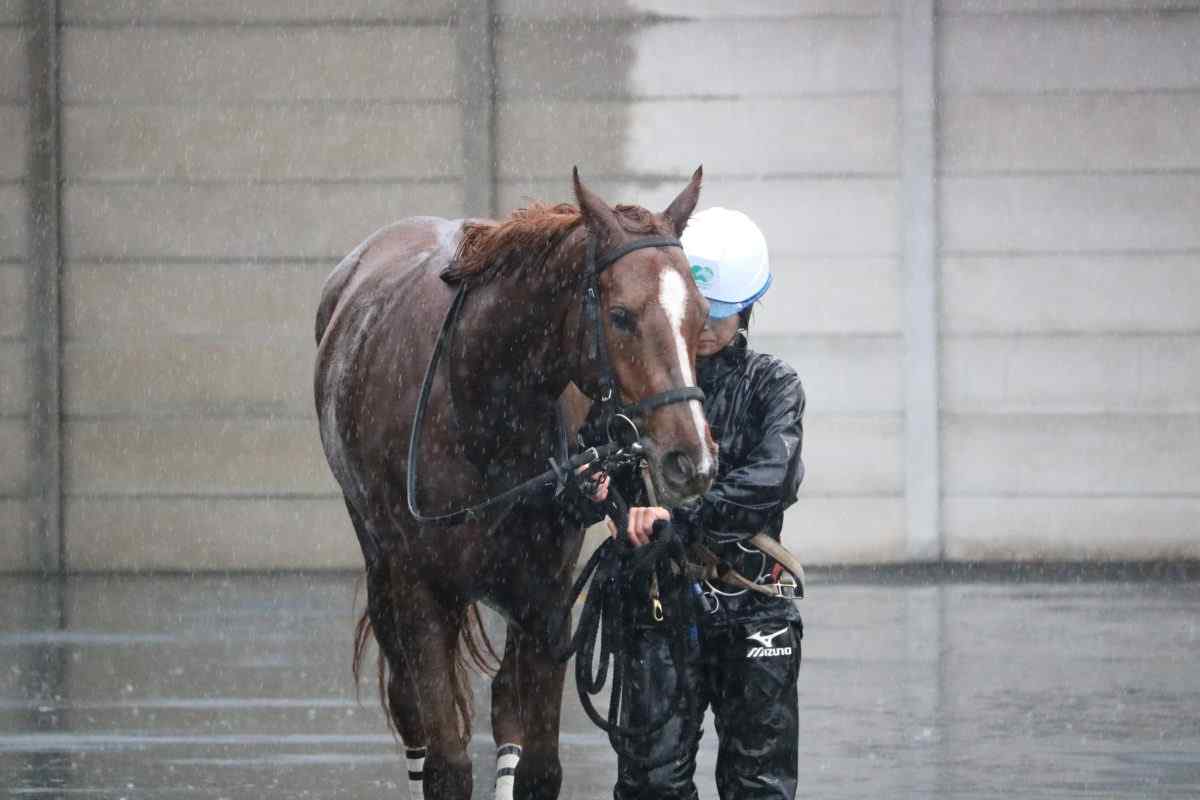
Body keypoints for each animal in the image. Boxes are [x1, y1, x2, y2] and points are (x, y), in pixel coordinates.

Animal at [314, 165, 715, 796]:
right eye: (621, 315)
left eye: (699, 315)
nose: (690, 456)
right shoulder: (421, 590)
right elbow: (446, 763)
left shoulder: (547, 594)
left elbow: (540, 764)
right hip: (381, 566)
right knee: (409, 705)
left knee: (505, 700)